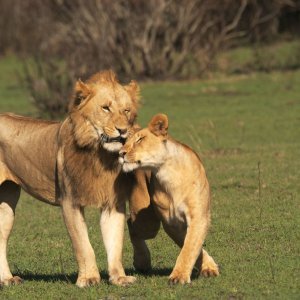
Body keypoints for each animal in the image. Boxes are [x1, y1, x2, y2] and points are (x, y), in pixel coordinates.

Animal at [0, 71, 141, 288]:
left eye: (126, 110)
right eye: (105, 108)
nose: (123, 131)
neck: (99, 155)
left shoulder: (112, 203)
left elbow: (115, 243)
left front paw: (119, 278)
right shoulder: (69, 201)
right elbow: (83, 245)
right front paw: (89, 279)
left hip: (7, 202)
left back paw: (7, 279)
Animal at [118, 113, 219, 284]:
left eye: (140, 140)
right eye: (125, 143)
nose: (121, 153)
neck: (167, 172)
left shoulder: (199, 217)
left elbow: (190, 246)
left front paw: (186, 274)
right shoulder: (171, 222)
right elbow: (188, 246)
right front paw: (184, 274)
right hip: (147, 222)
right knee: (131, 222)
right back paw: (142, 261)